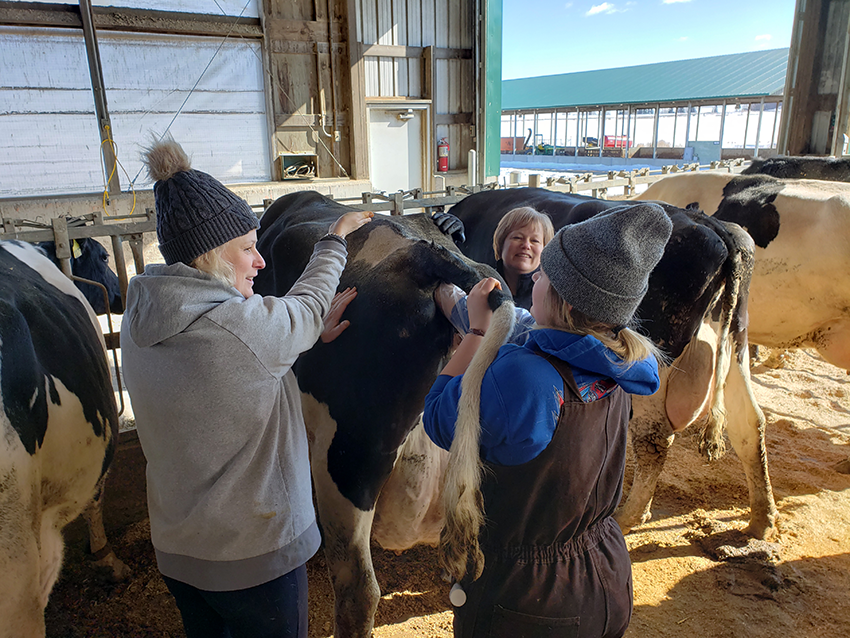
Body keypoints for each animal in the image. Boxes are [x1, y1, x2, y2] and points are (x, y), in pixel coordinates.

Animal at [450, 189, 776, 540]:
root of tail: (712, 225)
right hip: (736, 342)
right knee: (749, 422)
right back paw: (762, 517)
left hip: (657, 360)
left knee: (654, 438)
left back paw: (629, 516)